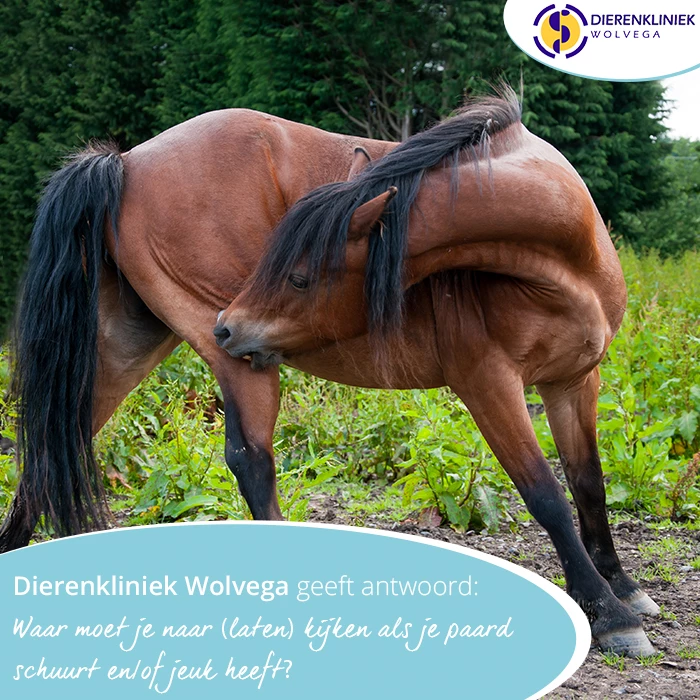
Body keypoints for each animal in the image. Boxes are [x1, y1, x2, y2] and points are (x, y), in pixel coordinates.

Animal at [0, 89, 658, 656]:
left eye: (297, 275)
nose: (226, 326)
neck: (562, 261)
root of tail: (126, 161)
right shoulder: (488, 383)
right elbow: (545, 494)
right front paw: (608, 616)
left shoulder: (574, 381)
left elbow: (588, 482)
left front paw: (622, 589)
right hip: (238, 364)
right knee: (252, 463)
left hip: (127, 351)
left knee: (53, 449)